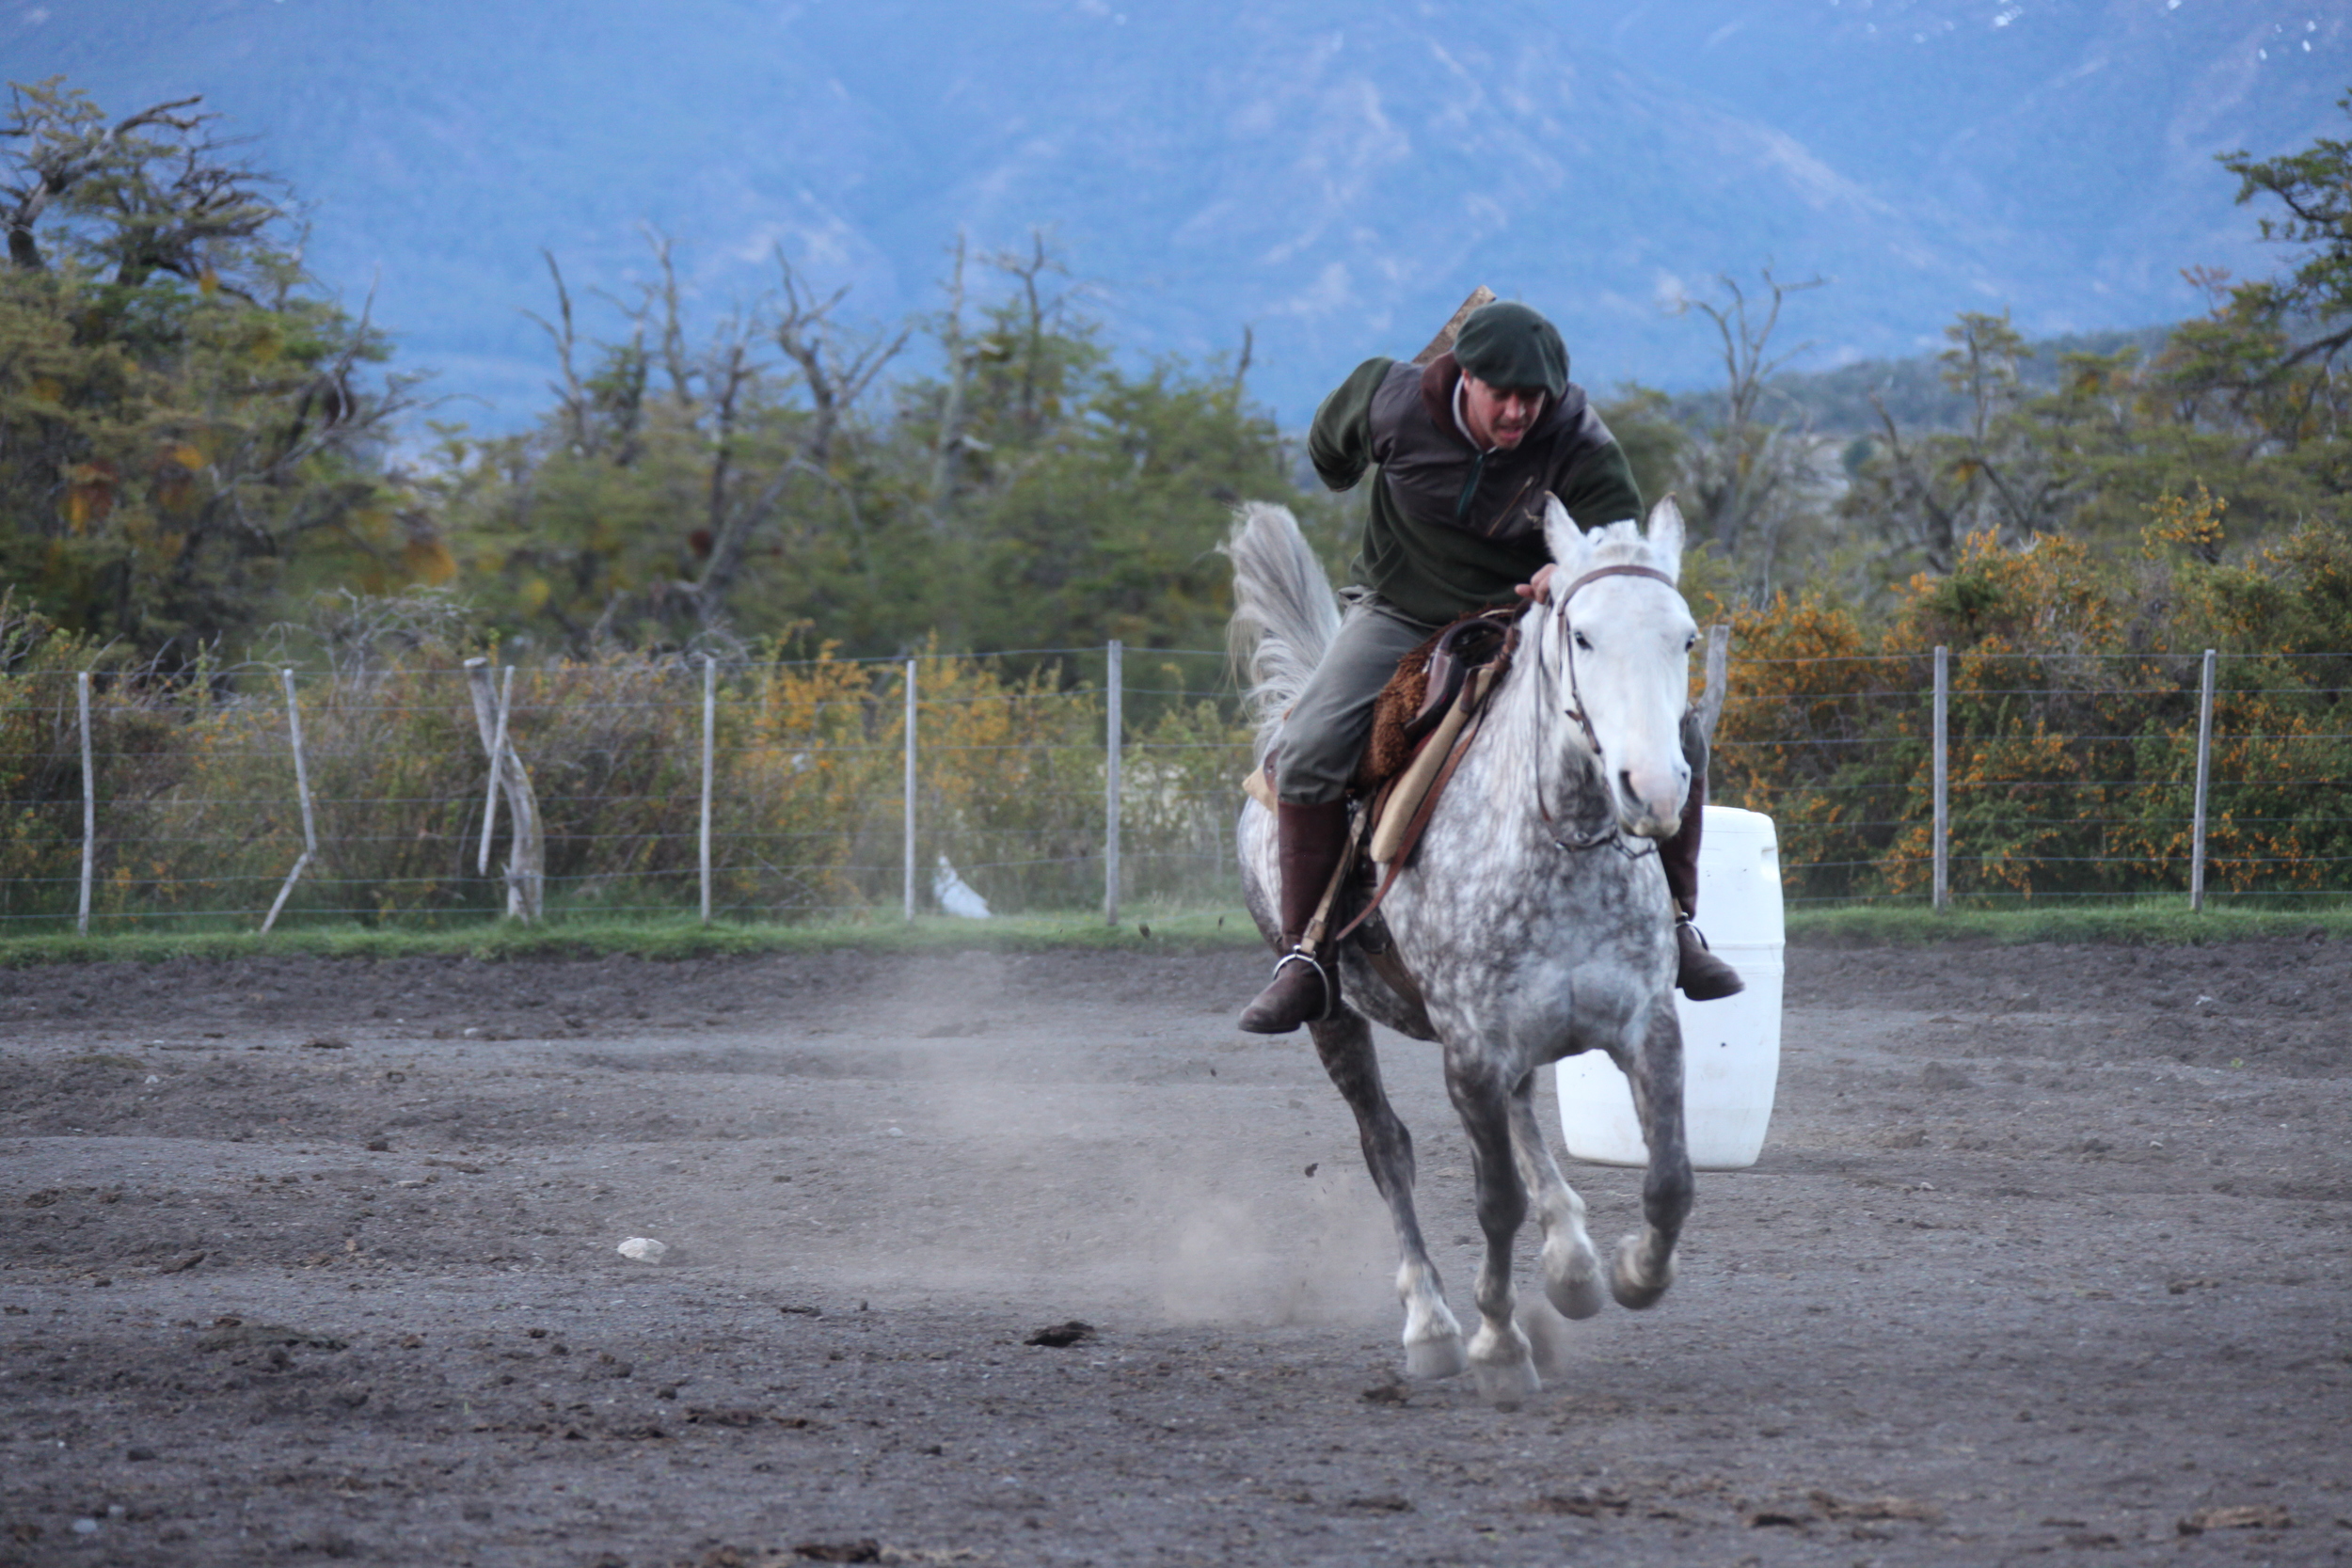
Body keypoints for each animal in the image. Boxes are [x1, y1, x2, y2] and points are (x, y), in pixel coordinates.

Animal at [1228, 494, 1699, 1406]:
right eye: (1581, 635)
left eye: (1686, 637)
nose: (1655, 791)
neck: (1558, 844)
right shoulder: (1471, 1052)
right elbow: (1494, 1201)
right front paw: (1496, 1343)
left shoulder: (1646, 1027)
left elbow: (1669, 1178)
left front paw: (1632, 1272)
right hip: (1335, 1019)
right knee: (1388, 1147)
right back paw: (1432, 1321)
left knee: (1522, 1118)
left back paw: (1574, 1262)